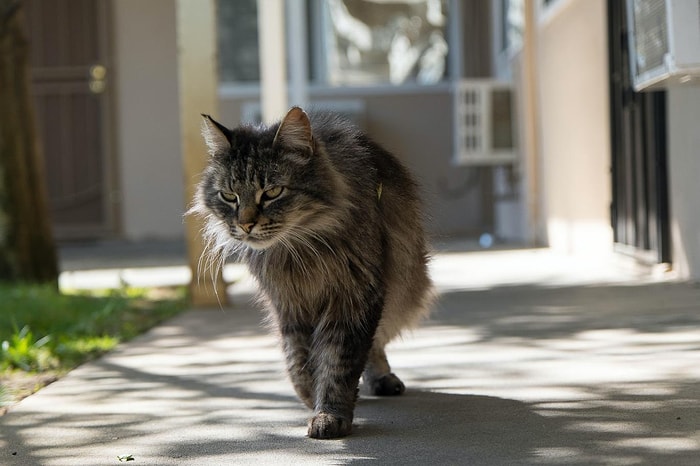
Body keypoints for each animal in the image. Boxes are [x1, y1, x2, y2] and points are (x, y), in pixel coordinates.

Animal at [190, 107, 432, 438]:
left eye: (272, 192)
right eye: (229, 196)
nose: (245, 224)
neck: (298, 250)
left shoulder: (355, 296)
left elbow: (338, 361)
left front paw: (329, 414)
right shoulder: (288, 304)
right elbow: (298, 359)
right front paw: (309, 395)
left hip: (405, 294)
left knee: (377, 343)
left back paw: (382, 379)